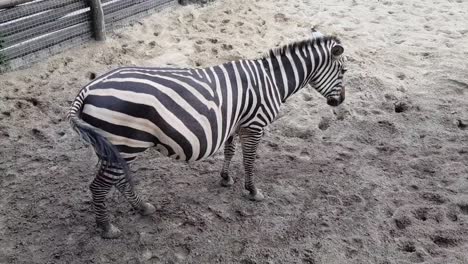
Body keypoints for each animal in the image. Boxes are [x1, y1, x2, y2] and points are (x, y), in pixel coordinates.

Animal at [68, 32, 348, 238]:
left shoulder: (235, 123)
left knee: (118, 181)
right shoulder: (254, 124)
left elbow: (230, 151)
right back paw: (107, 228)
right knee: (99, 186)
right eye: (344, 72)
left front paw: (225, 178)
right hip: (125, 143)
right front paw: (252, 191)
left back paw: (143, 208)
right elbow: (249, 161)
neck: (271, 81)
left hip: (114, 148)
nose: (340, 102)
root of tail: (88, 88)